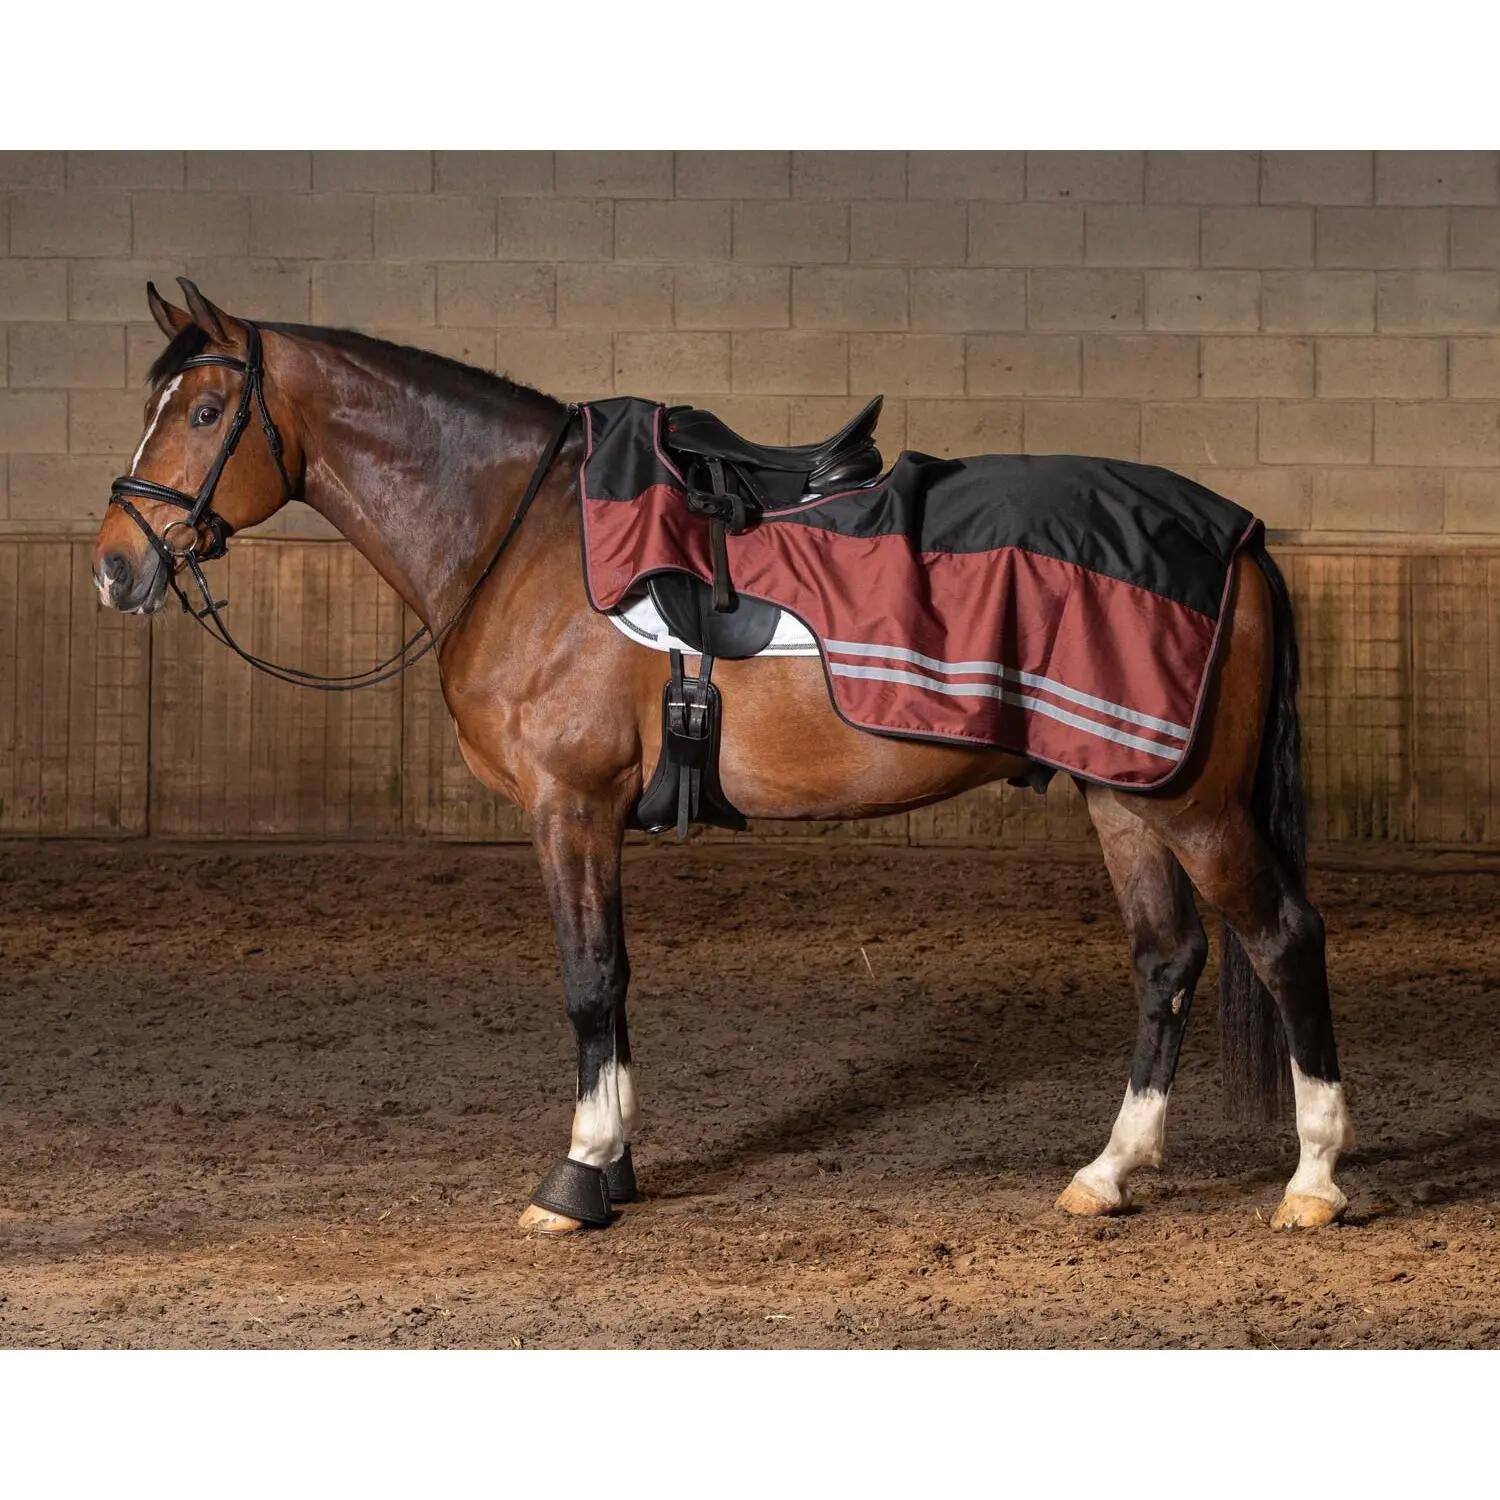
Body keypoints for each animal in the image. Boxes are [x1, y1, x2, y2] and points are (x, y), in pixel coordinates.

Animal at [90, 280, 1354, 1235]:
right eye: (154, 404)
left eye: (205, 411)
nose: (114, 568)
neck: (522, 537)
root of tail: (1237, 534)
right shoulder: (589, 815)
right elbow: (616, 980)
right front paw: (615, 1161)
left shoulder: (569, 806)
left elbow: (589, 979)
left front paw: (578, 1178)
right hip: (1123, 795)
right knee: (1167, 959)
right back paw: (1110, 1173)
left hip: (1196, 804)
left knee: (1282, 939)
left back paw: (1313, 1180)